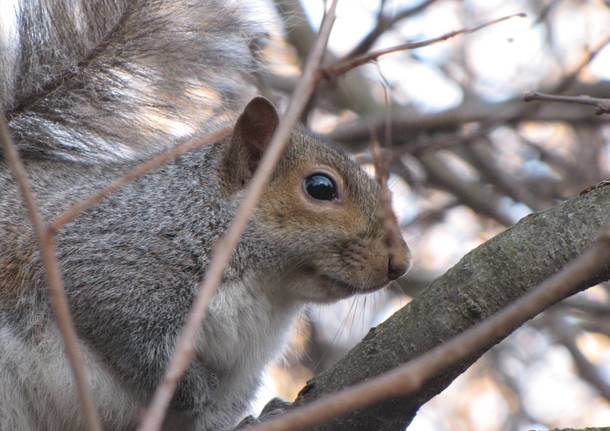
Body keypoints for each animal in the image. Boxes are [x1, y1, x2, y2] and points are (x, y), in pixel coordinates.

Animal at [0, 0, 410, 431]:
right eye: (321, 187)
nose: (400, 263)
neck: (269, 290)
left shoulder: (241, 370)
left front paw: (259, 415)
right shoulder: (104, 266)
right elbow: (139, 347)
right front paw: (195, 390)